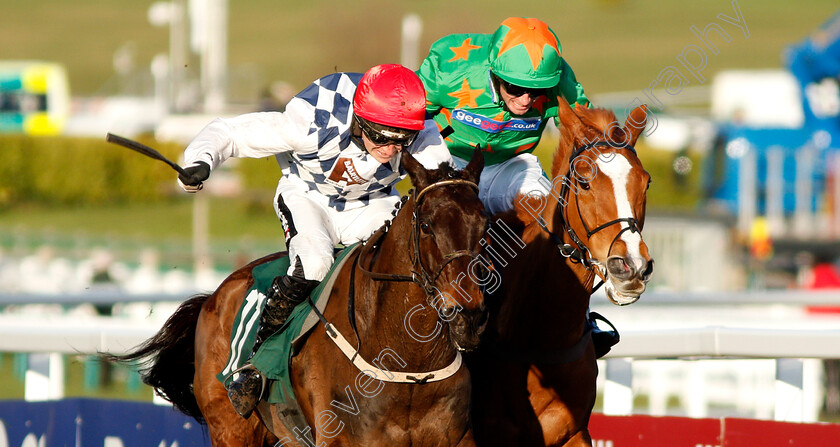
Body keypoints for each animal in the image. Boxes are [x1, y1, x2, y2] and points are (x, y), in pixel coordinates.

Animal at [111, 150, 492, 447]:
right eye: (426, 226)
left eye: (484, 226)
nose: (469, 316)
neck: (409, 366)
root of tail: (213, 296)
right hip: (231, 427)